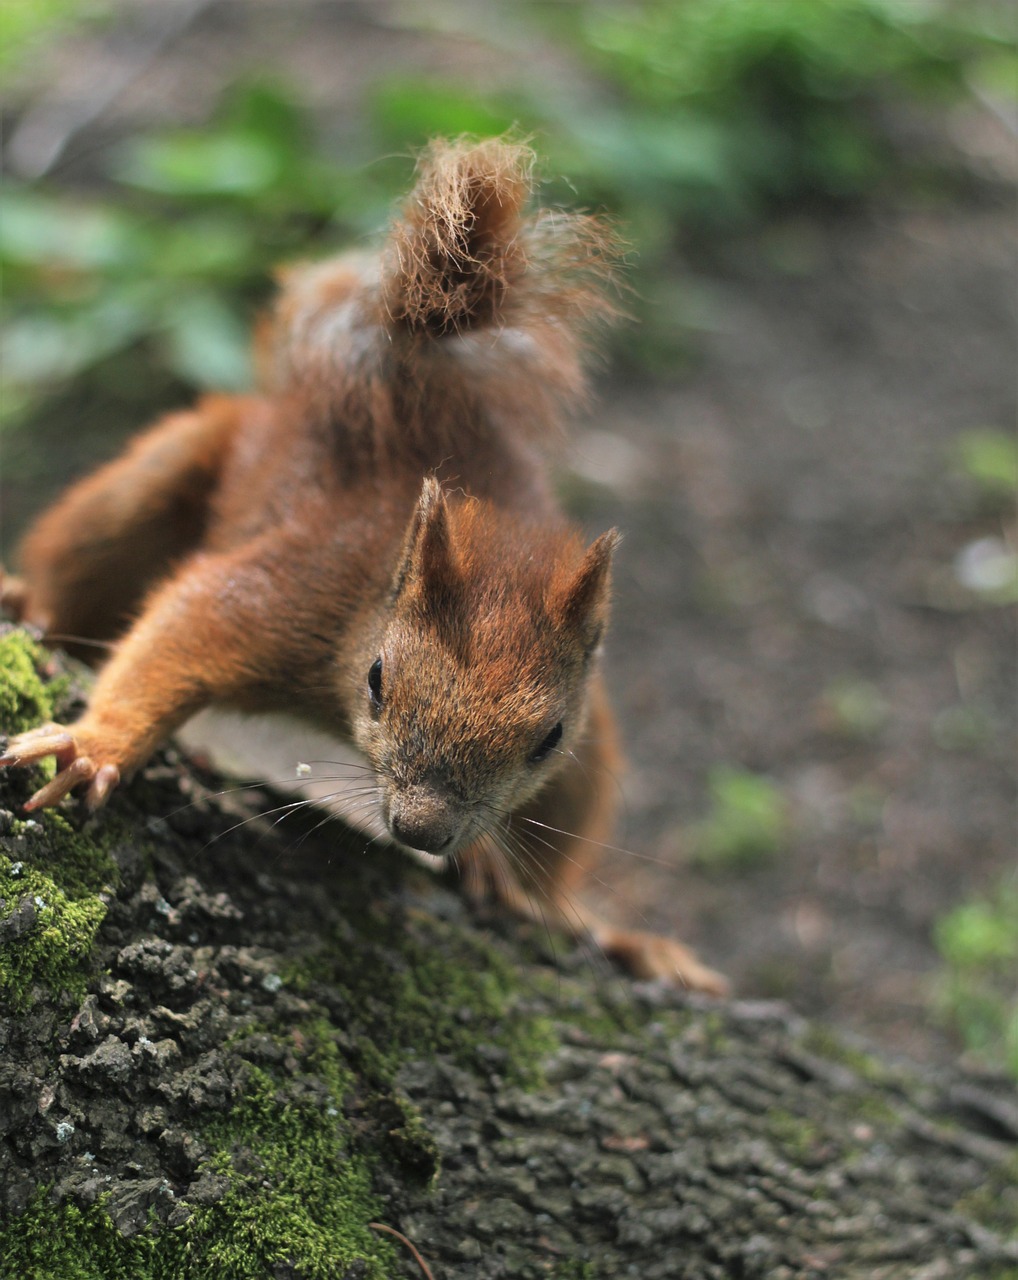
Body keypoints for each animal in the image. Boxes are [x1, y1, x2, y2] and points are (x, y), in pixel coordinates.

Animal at [3, 142, 727, 998]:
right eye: (379, 681)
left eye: (548, 738)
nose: (424, 830)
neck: (371, 601)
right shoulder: (293, 590)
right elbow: (182, 631)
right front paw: (94, 745)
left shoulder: (579, 745)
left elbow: (559, 846)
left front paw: (558, 906)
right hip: (157, 482)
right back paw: (25, 598)